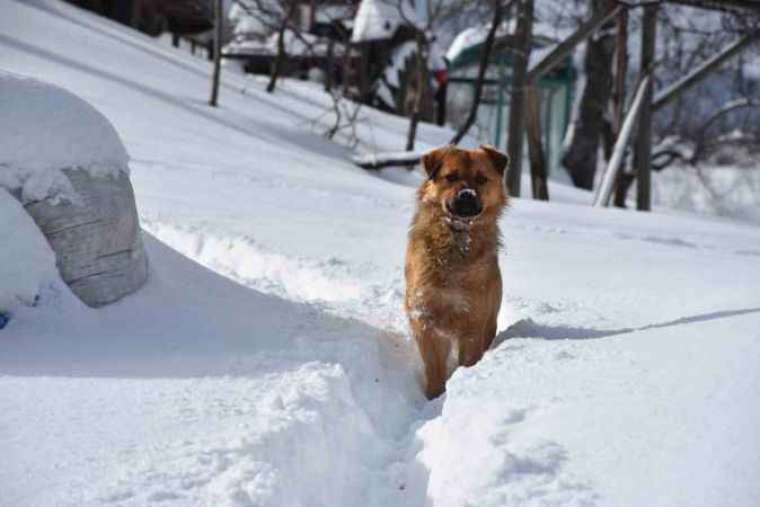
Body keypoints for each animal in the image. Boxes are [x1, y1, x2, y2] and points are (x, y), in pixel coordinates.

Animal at [404, 144, 510, 400]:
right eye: (451, 177)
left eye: (481, 179)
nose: (466, 195)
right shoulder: (424, 316)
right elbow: (434, 366)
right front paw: (435, 396)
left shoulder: (473, 321)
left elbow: (468, 359)